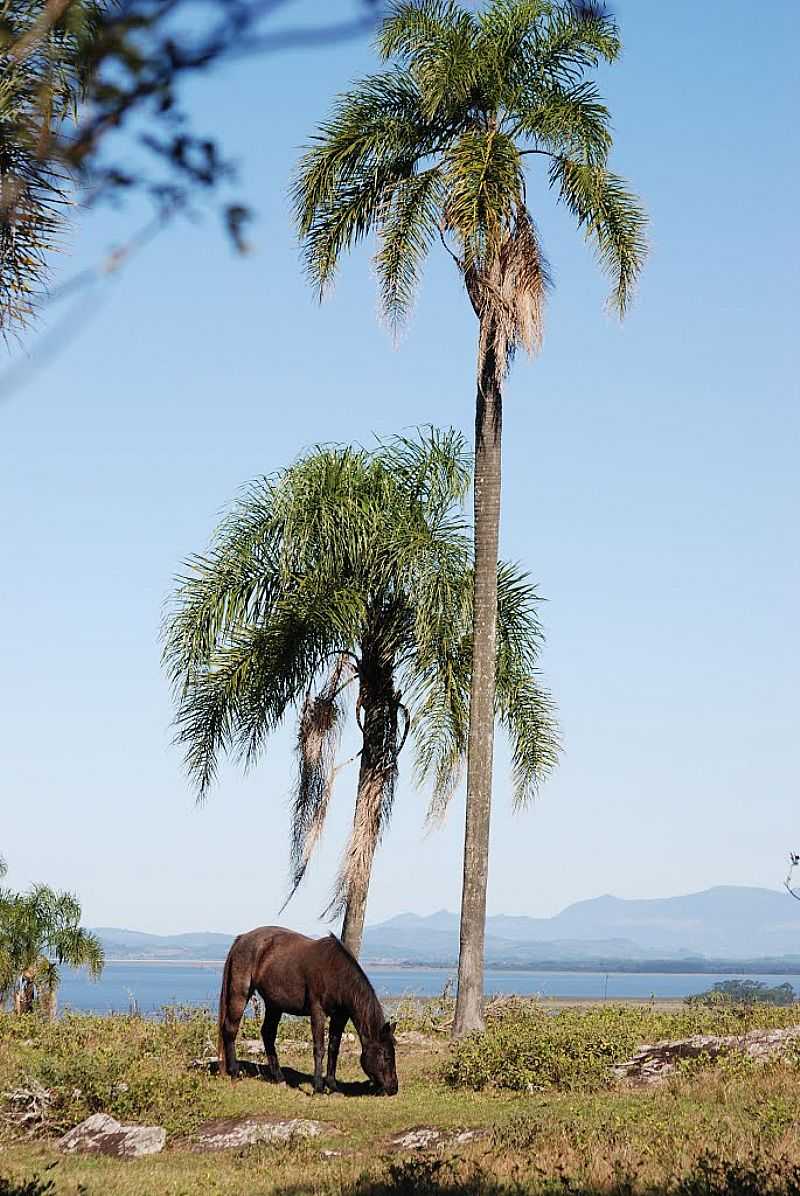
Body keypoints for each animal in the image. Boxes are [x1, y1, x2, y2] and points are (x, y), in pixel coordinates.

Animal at [216, 923, 397, 1095]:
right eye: (386, 1055)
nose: (393, 1088)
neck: (335, 972)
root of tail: (241, 939)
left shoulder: (340, 1017)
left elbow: (334, 1048)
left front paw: (332, 1085)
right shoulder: (318, 1012)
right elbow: (319, 1048)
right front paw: (318, 1087)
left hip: (274, 1004)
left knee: (267, 1033)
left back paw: (279, 1077)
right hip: (240, 993)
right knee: (230, 1029)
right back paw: (234, 1072)